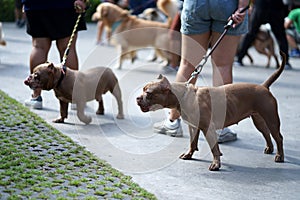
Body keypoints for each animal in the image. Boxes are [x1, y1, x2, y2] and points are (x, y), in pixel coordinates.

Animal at [137, 51, 286, 170]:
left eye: (148, 93)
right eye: (143, 90)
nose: (137, 98)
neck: (184, 96)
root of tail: (264, 87)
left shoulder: (208, 128)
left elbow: (214, 148)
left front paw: (216, 164)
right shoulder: (194, 127)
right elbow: (192, 143)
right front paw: (189, 155)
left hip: (272, 119)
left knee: (278, 137)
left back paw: (280, 156)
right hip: (259, 119)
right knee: (266, 133)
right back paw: (270, 149)